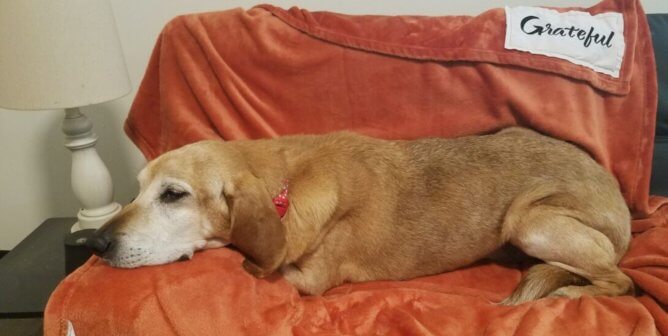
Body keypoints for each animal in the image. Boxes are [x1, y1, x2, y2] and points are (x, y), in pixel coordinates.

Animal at [87, 126, 632, 304]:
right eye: (136, 190)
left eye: (173, 195)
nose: (95, 244)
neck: (283, 187)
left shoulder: (308, 281)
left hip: (530, 222)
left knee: (621, 282)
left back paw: (566, 292)